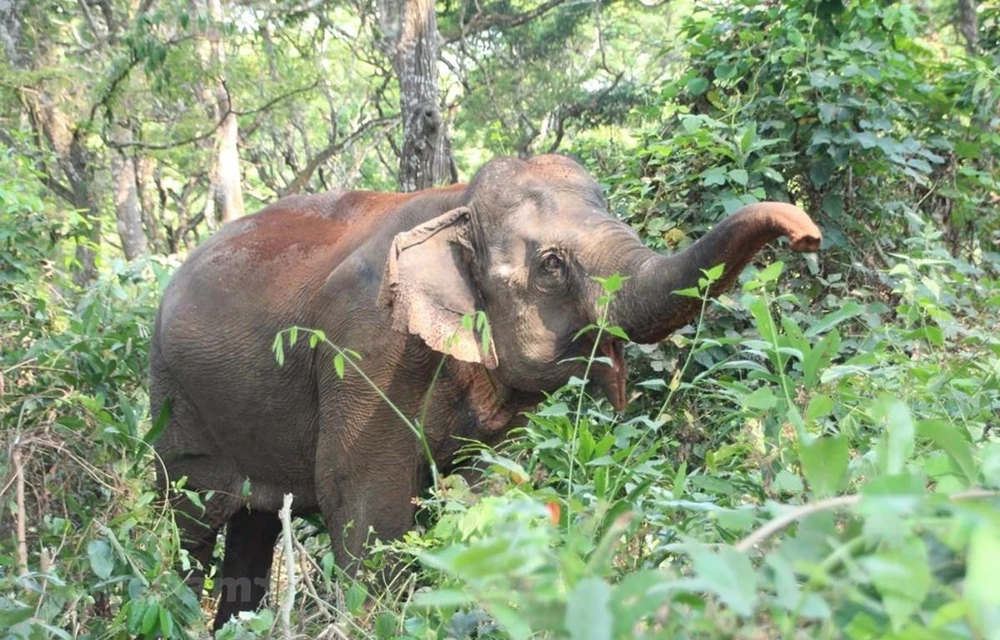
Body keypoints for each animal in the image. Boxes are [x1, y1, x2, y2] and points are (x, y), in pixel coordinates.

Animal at [148, 152, 820, 628]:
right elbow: (361, 500)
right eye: (551, 265)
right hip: (174, 404)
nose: (807, 234)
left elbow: (484, 488)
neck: (456, 206)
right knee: (187, 527)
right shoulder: (365, 344)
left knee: (251, 533)